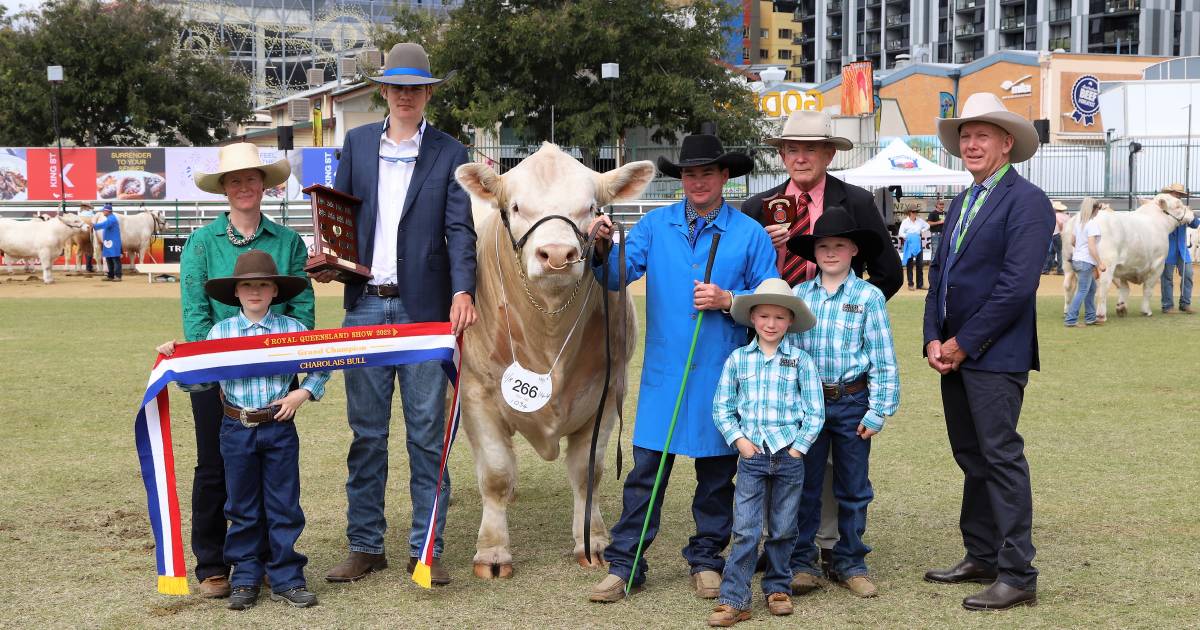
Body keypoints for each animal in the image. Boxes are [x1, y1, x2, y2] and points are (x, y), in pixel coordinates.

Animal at [451, 145, 657, 578]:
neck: (547, 330)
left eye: (592, 208)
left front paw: (591, 540)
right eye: (514, 206)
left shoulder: (608, 392)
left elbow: (587, 472)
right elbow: (494, 472)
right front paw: (492, 552)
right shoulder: (476, 392)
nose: (559, 254)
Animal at [1065, 192, 1195, 319]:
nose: (1192, 213)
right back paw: (1101, 315)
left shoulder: (1124, 266)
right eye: (1178, 206)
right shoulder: (1158, 265)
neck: (1157, 222)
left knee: (1068, 285)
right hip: (1106, 264)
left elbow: (1124, 288)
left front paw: (1121, 307)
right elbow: (1148, 289)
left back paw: (1068, 312)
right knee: (1102, 287)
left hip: (1068, 263)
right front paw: (1146, 311)